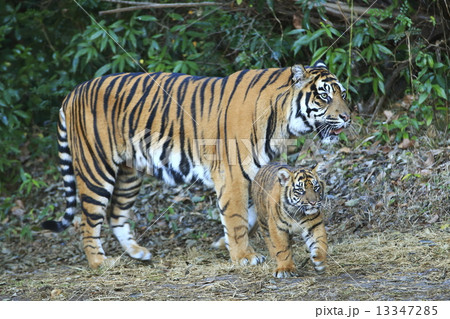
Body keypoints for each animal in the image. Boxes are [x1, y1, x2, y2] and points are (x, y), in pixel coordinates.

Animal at [43, 60, 352, 270]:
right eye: (324, 95)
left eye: (343, 94)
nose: (348, 117)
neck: (282, 121)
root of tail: (73, 92)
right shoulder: (232, 175)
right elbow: (237, 217)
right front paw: (244, 256)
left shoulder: (255, 174)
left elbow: (250, 217)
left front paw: (224, 244)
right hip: (96, 170)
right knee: (88, 220)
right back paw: (100, 262)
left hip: (129, 174)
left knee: (116, 214)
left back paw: (137, 252)